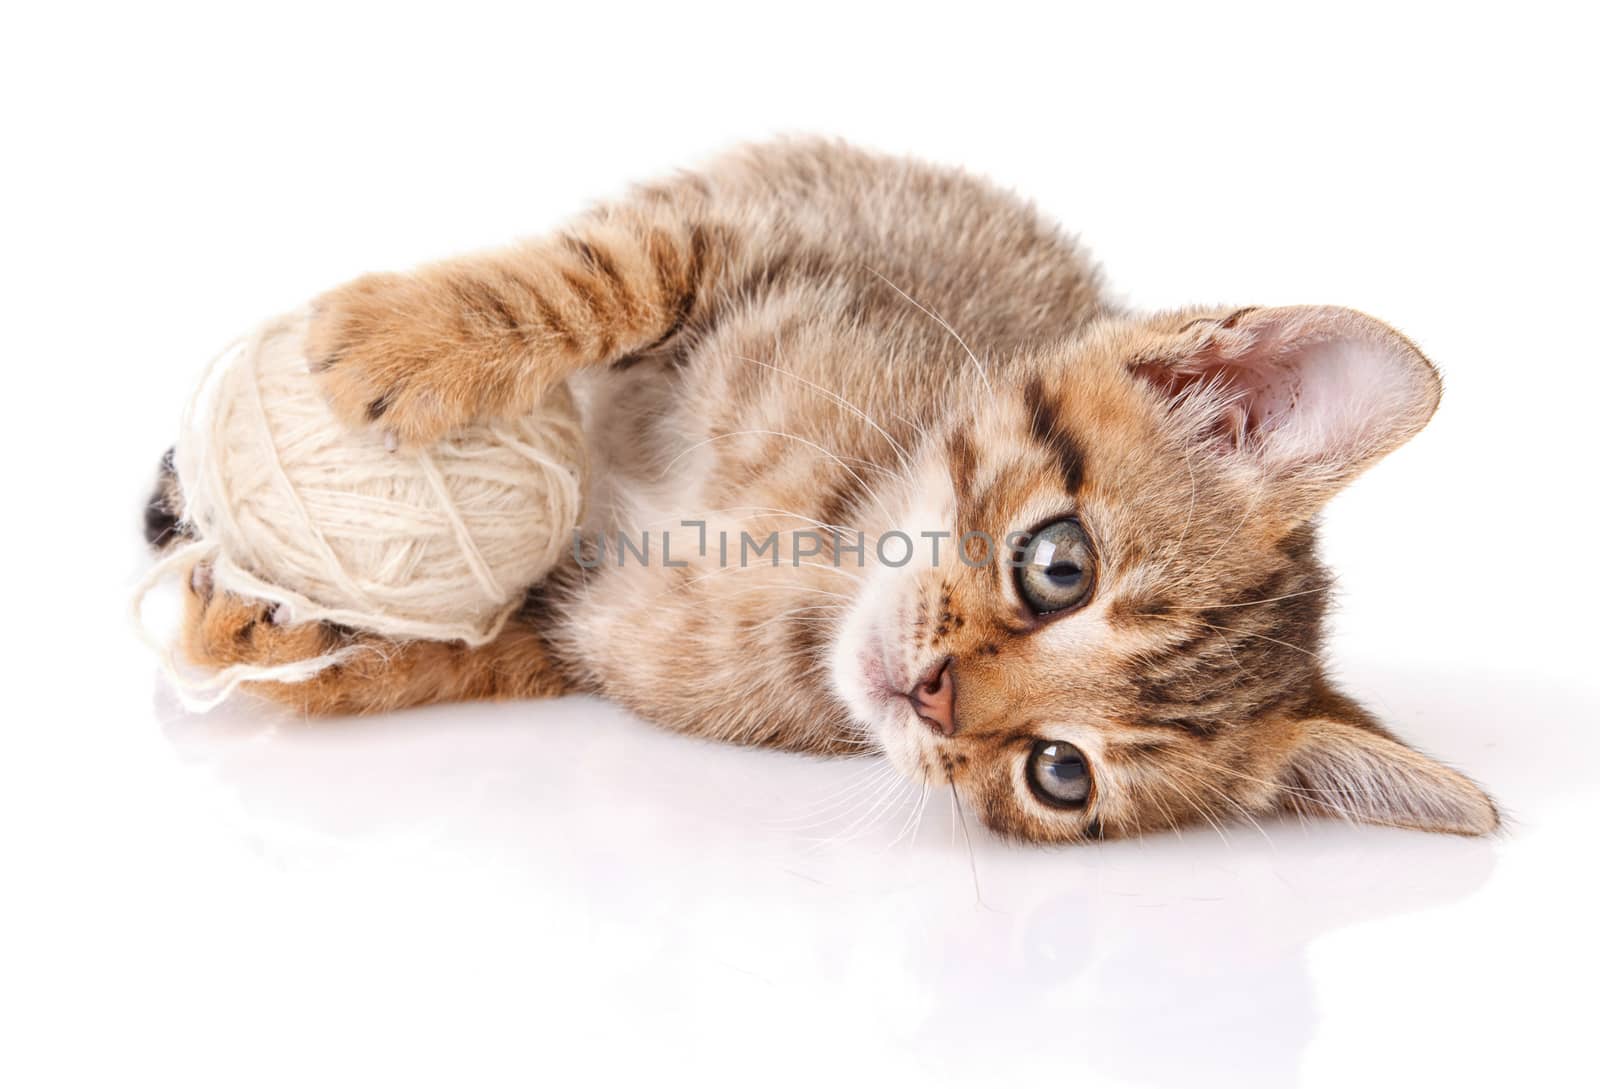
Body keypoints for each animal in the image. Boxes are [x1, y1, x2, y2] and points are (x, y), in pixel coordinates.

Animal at [150, 138, 1497, 837]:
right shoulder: (758, 225)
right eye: (1058, 566)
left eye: (1059, 774)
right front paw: (412, 340)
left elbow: (482, 646)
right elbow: (602, 275)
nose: (934, 696)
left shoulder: (589, 630)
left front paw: (283, 636)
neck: (815, 541)